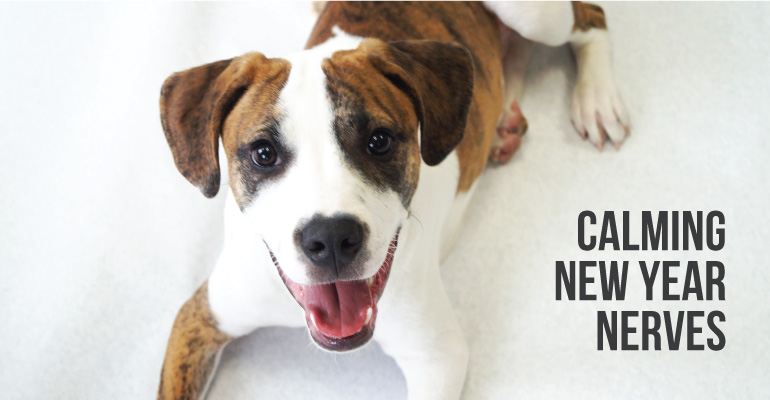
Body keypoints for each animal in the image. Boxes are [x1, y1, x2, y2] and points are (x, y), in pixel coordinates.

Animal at [154, 1, 624, 398]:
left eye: (379, 141)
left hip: (533, 13)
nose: (330, 238)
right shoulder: (200, 317)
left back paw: (597, 100)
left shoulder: (437, 357)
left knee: (590, 18)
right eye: (263, 153)